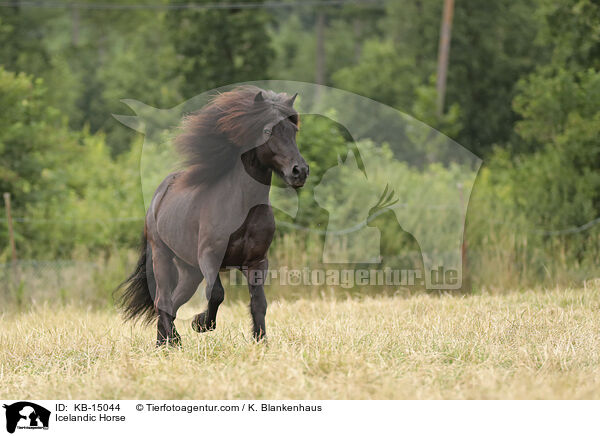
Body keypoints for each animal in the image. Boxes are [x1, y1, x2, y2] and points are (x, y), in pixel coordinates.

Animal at [116, 85, 310, 346]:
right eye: (268, 130)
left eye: (293, 130)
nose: (300, 171)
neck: (242, 206)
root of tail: (160, 194)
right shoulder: (209, 256)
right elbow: (216, 293)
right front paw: (200, 323)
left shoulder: (257, 262)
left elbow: (259, 303)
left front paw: (260, 341)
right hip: (162, 256)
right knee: (162, 301)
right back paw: (172, 342)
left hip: (190, 270)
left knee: (172, 304)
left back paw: (165, 343)